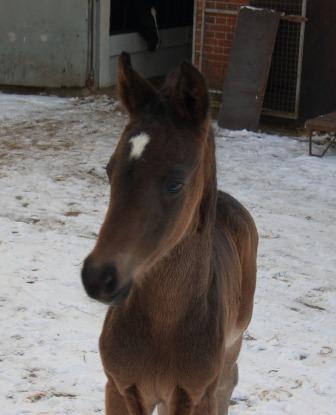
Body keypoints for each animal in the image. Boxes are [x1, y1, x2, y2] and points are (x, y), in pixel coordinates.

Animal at [82, 53, 258, 414]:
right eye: (109, 169)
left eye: (176, 182)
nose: (98, 277)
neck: (164, 325)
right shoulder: (119, 388)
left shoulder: (197, 395)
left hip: (234, 341)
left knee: (230, 378)